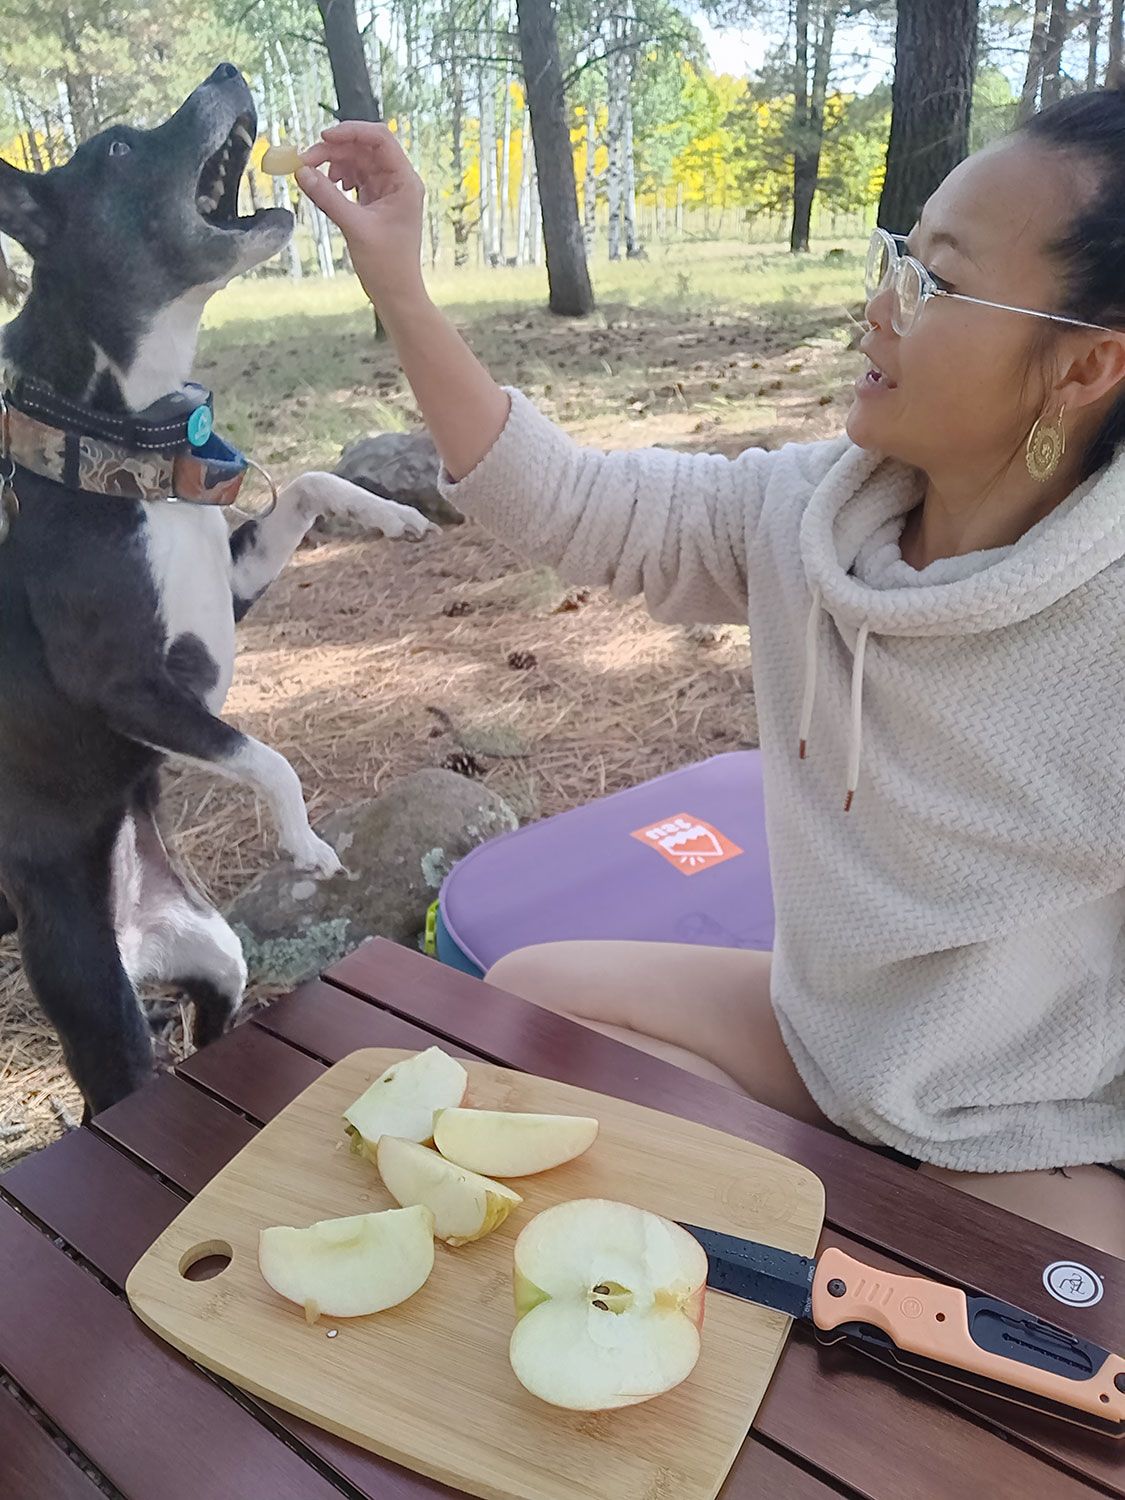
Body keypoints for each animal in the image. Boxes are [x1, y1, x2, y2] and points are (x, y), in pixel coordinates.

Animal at [0, 67, 435, 1116]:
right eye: (117, 148)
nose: (227, 73)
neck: (121, 444)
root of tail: (133, 933)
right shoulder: (129, 687)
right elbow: (263, 756)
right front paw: (306, 845)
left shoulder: (225, 590)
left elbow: (311, 483)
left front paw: (389, 516)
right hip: (103, 1017)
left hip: (216, 960)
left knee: (211, 1027)